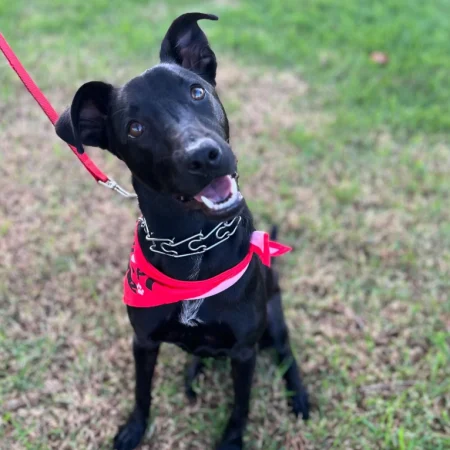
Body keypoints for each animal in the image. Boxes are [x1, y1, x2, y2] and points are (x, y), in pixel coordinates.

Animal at [54, 12, 310, 448]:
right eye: (135, 128)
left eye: (196, 92)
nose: (204, 156)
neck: (192, 244)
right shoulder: (143, 342)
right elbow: (142, 392)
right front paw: (134, 430)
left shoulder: (244, 351)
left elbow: (240, 407)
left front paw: (232, 440)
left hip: (274, 318)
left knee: (287, 355)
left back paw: (300, 396)